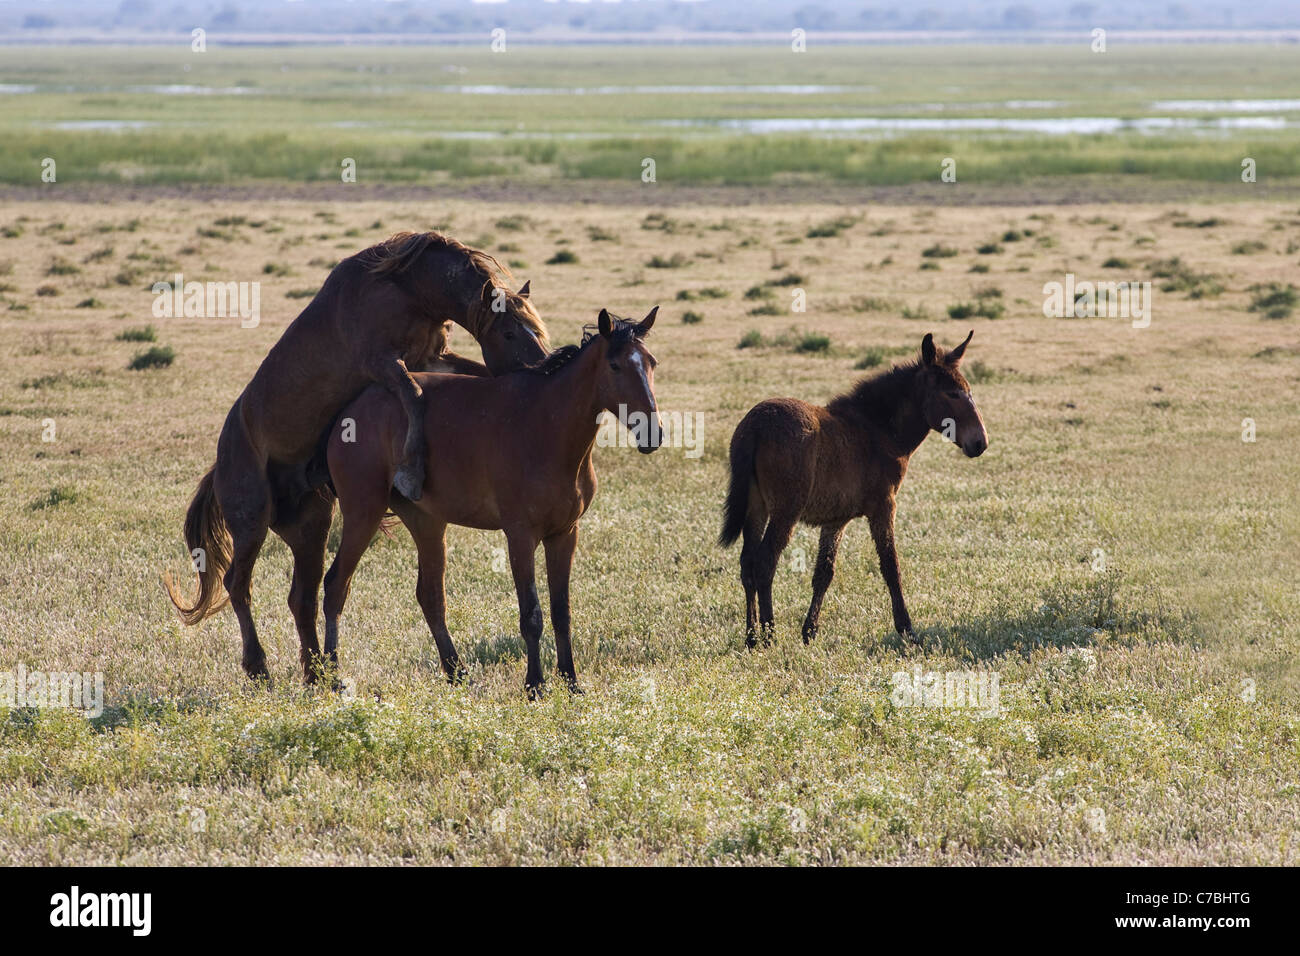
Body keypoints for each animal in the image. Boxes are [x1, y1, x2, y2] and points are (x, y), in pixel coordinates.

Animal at [162, 231, 548, 686]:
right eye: (508, 333)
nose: (543, 365)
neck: (405, 286)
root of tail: (220, 464)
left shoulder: (433, 357)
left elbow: (462, 376)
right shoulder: (385, 363)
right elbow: (415, 396)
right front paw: (412, 469)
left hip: (310, 529)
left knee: (302, 596)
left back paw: (316, 673)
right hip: (251, 523)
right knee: (238, 585)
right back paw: (260, 669)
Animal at [315, 310, 660, 697]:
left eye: (651, 363)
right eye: (615, 366)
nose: (652, 432)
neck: (546, 426)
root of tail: (347, 413)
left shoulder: (564, 534)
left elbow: (562, 611)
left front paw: (571, 680)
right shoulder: (520, 536)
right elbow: (532, 614)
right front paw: (535, 684)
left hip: (426, 523)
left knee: (430, 595)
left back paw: (456, 672)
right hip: (364, 513)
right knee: (336, 586)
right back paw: (333, 677)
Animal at [722, 330, 982, 650]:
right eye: (953, 394)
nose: (980, 443)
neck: (878, 431)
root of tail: (755, 425)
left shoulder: (836, 520)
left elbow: (824, 573)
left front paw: (810, 632)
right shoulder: (884, 507)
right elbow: (890, 566)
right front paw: (907, 630)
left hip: (756, 507)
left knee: (747, 563)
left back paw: (751, 637)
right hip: (785, 510)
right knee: (765, 562)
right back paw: (769, 634)